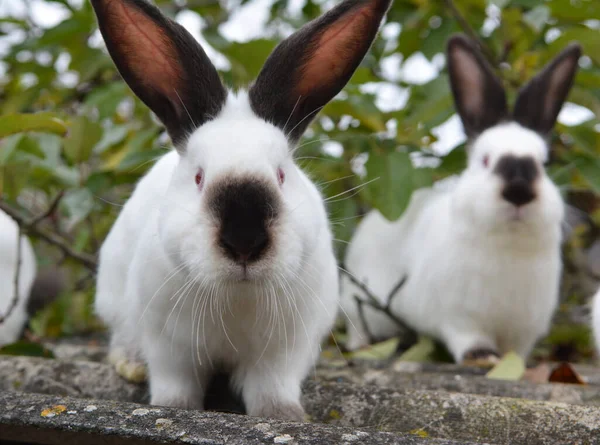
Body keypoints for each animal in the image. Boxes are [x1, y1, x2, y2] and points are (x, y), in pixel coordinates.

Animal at [88, 0, 390, 418]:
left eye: (281, 174)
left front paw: (287, 416)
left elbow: (271, 391)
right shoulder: (169, 348)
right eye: (198, 178)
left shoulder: (282, 354)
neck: (237, 296)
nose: (244, 242)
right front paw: (172, 408)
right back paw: (129, 364)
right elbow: (175, 388)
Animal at [342, 35, 580, 364]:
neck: (508, 246)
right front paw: (482, 356)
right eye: (485, 160)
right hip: (359, 302)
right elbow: (468, 338)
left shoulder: (524, 330)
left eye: (543, 164)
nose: (519, 191)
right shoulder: (459, 317)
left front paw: (513, 363)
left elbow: (517, 351)